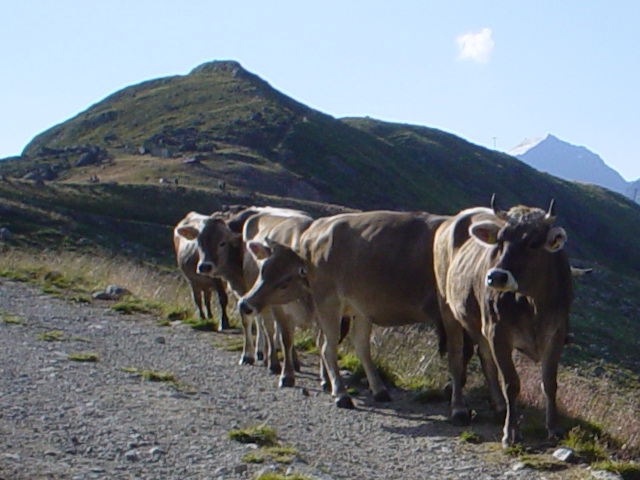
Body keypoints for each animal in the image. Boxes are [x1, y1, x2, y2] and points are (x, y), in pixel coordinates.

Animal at [176, 206, 314, 386]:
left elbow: (249, 321)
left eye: (222, 243)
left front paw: (249, 355)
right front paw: (262, 353)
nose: (204, 266)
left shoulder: (245, 292)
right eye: (199, 242)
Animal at [236, 211, 450, 408]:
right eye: (262, 270)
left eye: (285, 281)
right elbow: (287, 340)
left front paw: (327, 381)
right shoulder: (286, 310)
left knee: (346, 346)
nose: (245, 303)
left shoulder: (337, 312)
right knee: (271, 330)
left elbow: (328, 343)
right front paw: (287, 376)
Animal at [432, 194, 572, 446]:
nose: (496, 276)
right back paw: (459, 408)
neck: (533, 301)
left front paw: (554, 428)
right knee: (456, 357)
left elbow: (549, 383)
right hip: (448, 307)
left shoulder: (556, 334)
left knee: (485, 357)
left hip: (479, 324)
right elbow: (511, 383)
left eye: (533, 243)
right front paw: (511, 432)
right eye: (500, 241)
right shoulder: (498, 331)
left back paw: (498, 406)